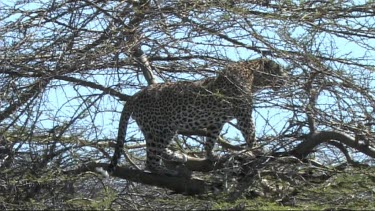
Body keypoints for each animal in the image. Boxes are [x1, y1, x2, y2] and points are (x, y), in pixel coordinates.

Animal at [108, 57, 288, 176]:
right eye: (279, 70)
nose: (286, 78)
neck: (253, 75)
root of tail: (136, 95)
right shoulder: (243, 113)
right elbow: (250, 133)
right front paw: (259, 151)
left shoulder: (216, 122)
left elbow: (210, 139)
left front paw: (211, 155)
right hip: (161, 129)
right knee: (150, 160)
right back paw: (164, 170)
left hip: (156, 129)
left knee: (156, 151)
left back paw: (176, 157)